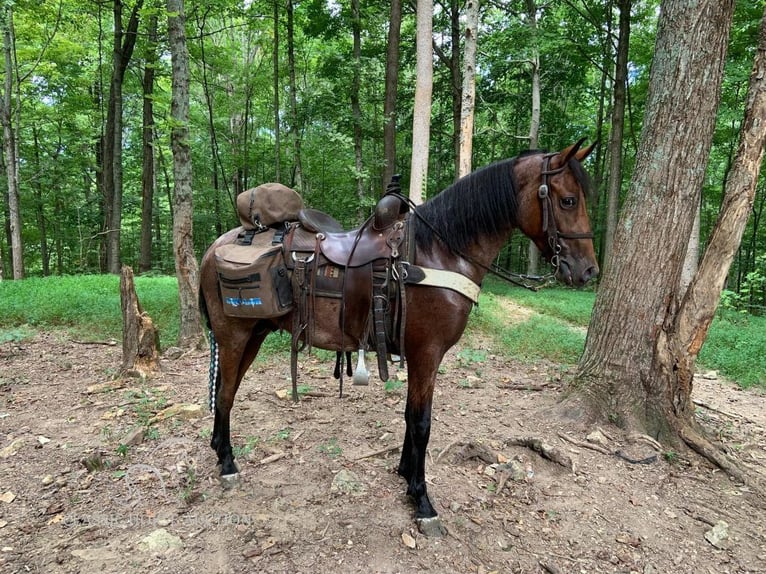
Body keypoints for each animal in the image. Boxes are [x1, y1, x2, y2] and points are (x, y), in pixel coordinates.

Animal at [200, 138, 600, 536]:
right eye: (568, 200)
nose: (588, 271)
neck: (439, 253)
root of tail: (213, 248)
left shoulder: (421, 355)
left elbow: (411, 417)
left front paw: (406, 474)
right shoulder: (427, 353)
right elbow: (422, 423)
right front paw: (422, 501)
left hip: (254, 334)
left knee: (225, 391)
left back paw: (219, 449)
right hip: (234, 335)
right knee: (225, 394)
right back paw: (228, 464)